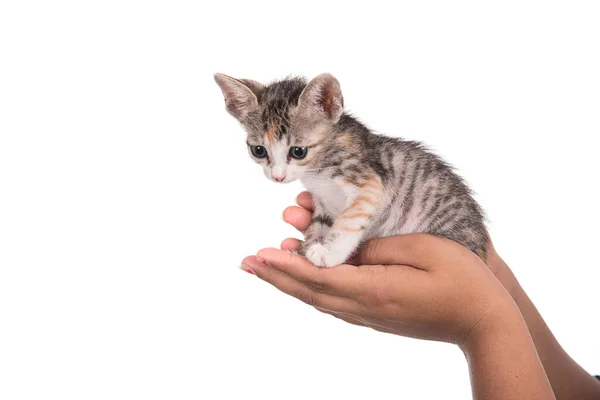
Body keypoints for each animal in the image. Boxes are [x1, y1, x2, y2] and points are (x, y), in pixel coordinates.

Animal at [214, 72, 488, 266]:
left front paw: (330, 254)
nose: (277, 177)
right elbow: (320, 223)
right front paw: (308, 246)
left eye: (298, 151)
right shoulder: (323, 199)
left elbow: (348, 220)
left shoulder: (370, 182)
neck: (316, 170)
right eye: (259, 151)